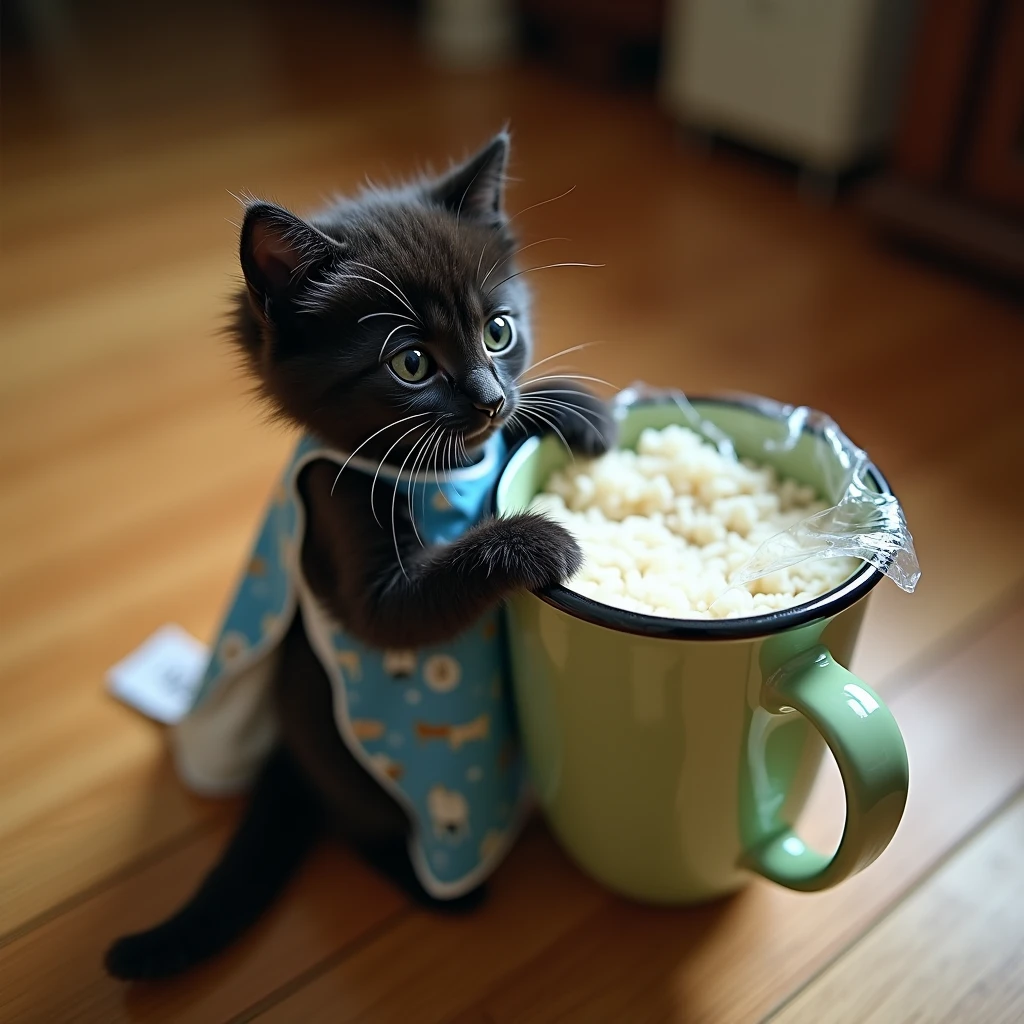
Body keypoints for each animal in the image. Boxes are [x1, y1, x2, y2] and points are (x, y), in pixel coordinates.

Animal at [105, 132, 614, 978]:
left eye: (499, 332)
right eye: (411, 363)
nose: (488, 397)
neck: (431, 471)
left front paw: (575, 410)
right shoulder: (341, 520)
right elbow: (399, 613)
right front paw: (545, 538)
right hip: (340, 753)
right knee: (358, 824)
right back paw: (437, 887)